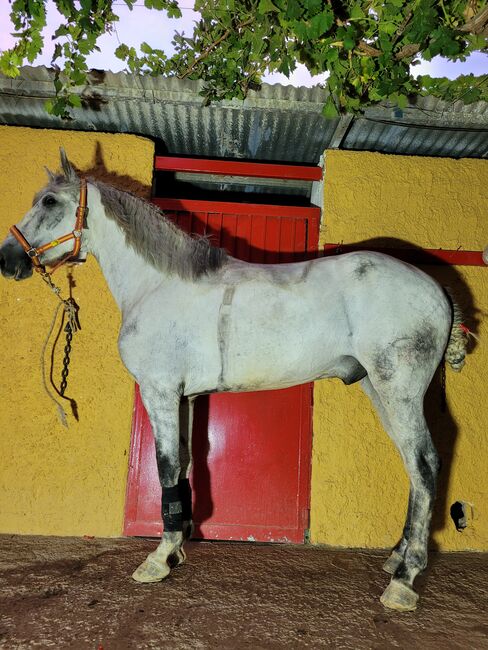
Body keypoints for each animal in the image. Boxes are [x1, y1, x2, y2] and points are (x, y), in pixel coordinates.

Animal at [0, 150, 468, 612]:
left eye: (50, 202)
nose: (8, 259)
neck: (158, 285)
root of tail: (438, 289)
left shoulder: (159, 390)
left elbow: (165, 464)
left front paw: (157, 558)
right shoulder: (185, 397)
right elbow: (184, 462)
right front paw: (177, 549)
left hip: (399, 390)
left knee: (424, 464)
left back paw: (404, 581)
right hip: (379, 390)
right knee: (413, 465)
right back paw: (396, 558)